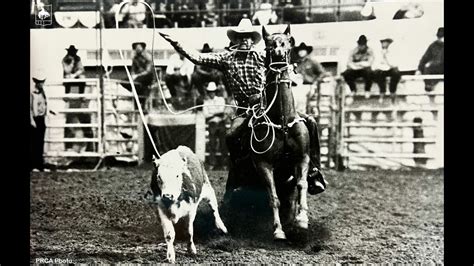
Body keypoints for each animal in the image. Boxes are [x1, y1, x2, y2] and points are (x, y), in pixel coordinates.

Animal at [225, 25, 312, 241]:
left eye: (288, 42)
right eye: (268, 44)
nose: (279, 54)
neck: (282, 121)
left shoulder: (302, 157)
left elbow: (302, 185)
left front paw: (302, 221)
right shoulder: (263, 164)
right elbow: (273, 197)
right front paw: (278, 230)